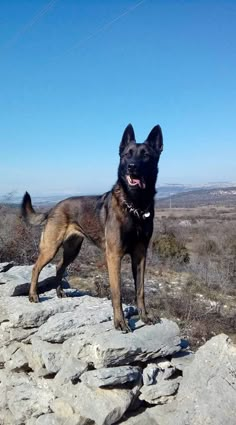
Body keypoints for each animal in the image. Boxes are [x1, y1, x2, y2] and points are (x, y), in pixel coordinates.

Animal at [21, 123, 162, 332]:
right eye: (127, 154)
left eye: (145, 155)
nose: (132, 167)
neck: (135, 204)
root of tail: (54, 207)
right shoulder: (114, 255)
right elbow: (117, 292)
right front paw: (120, 322)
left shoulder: (140, 255)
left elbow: (141, 291)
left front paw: (145, 317)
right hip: (50, 248)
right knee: (36, 268)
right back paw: (33, 295)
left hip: (72, 249)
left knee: (59, 266)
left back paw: (60, 292)